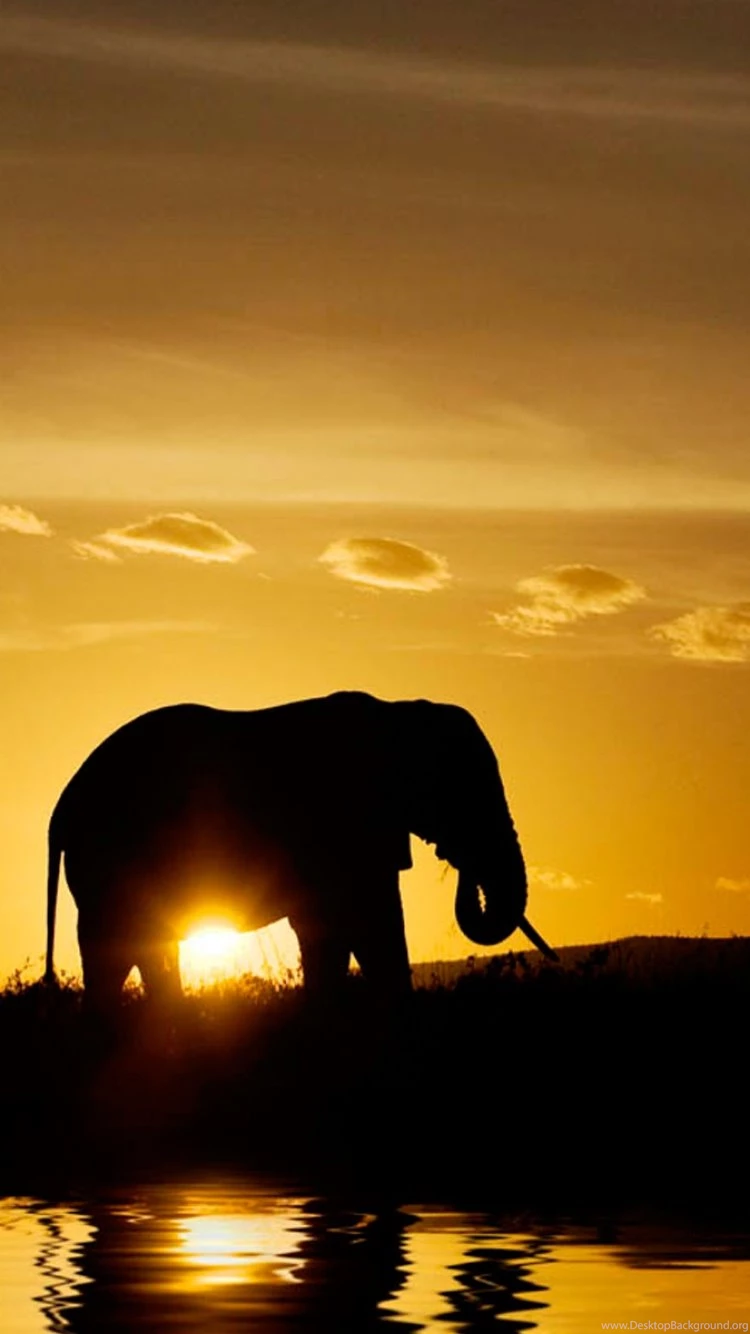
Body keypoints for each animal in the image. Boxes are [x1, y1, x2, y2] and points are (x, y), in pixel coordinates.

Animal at [44, 690, 555, 1011]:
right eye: (462, 793)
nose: (457, 859)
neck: (398, 713)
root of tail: (63, 804)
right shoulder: (345, 825)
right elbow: (367, 926)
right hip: (108, 860)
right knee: (116, 950)